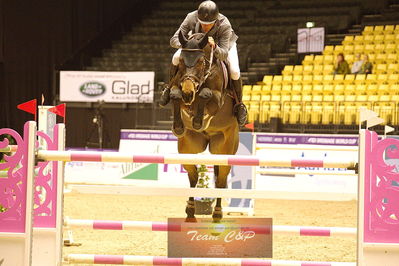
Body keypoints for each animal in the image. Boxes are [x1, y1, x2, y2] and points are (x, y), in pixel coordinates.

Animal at [170, 31, 239, 222]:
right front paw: (179, 126)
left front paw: (198, 120)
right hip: (188, 149)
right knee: (193, 177)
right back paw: (190, 211)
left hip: (224, 150)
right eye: (180, 61)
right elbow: (174, 93)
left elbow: (205, 94)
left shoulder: (217, 99)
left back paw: (217, 214)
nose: (188, 93)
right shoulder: (179, 88)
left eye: (201, 61)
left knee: (221, 181)